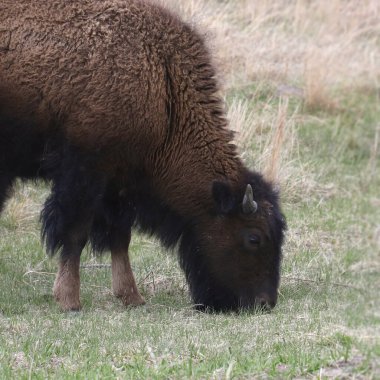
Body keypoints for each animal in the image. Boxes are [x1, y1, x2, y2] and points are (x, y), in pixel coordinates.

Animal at [0, 0, 284, 312]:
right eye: (254, 238)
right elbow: (76, 233)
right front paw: (69, 300)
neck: (163, 82)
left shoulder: (121, 183)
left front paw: (131, 297)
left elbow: (120, 237)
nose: (265, 302)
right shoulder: (85, 174)